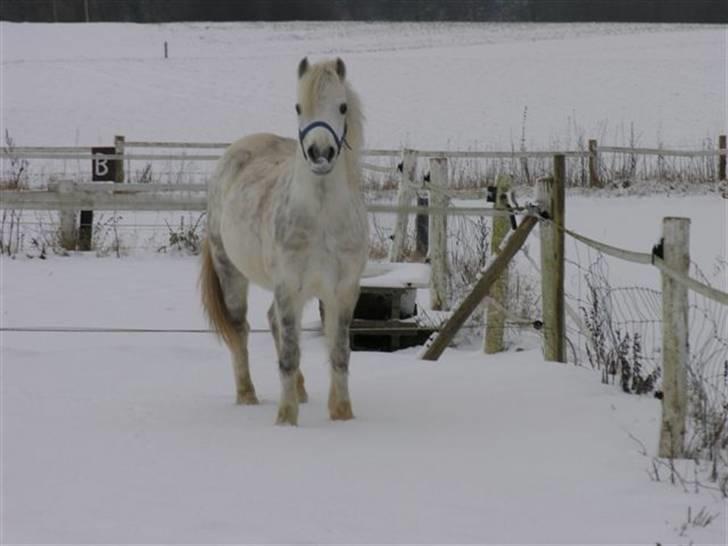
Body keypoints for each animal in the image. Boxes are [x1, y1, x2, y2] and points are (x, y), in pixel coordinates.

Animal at [200, 57, 366, 422]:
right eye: (298, 107)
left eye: (342, 106)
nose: (320, 153)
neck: (322, 217)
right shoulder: (289, 286)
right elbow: (289, 355)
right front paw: (286, 419)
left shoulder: (343, 290)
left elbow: (339, 352)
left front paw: (342, 414)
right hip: (231, 273)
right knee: (242, 330)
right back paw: (247, 396)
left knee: (272, 322)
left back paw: (302, 392)